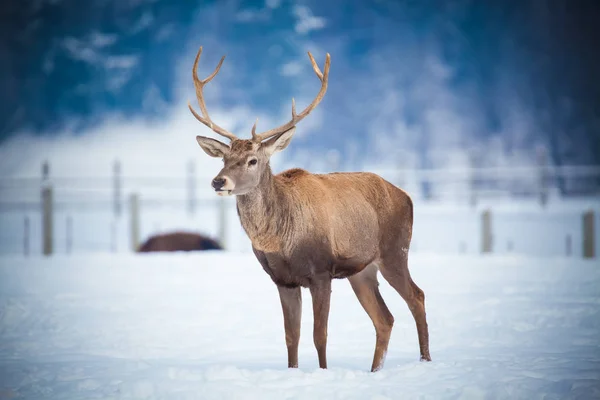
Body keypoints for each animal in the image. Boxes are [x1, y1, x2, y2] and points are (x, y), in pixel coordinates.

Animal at [188, 45, 432, 370]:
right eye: (224, 159)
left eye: (252, 160)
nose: (218, 181)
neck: (281, 241)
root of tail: (407, 197)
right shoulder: (283, 280)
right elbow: (292, 336)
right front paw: (293, 370)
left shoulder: (321, 271)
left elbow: (320, 335)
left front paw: (323, 371)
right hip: (361, 270)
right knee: (385, 319)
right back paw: (375, 370)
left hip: (395, 250)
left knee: (417, 296)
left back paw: (425, 360)